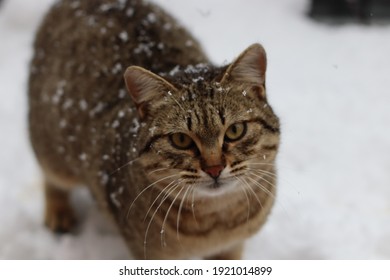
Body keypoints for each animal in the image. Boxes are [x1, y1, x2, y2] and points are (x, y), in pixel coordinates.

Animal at [28, 0, 280, 260]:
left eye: (235, 130)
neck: (217, 225)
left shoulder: (232, 247)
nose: (214, 168)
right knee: (51, 177)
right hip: (52, 150)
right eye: (180, 140)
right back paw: (59, 212)